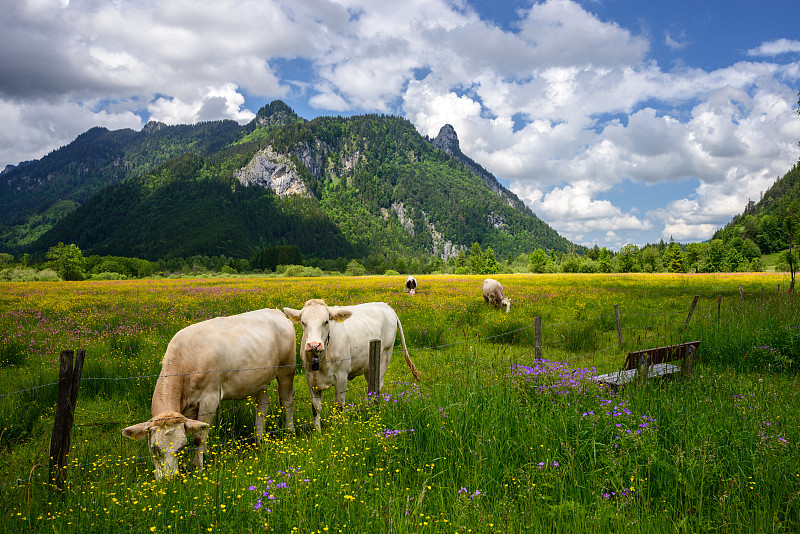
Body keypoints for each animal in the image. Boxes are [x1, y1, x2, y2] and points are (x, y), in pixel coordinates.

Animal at [123, 310, 298, 482]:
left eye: (180, 448)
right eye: (155, 449)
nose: (169, 479)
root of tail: (276, 311)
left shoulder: (210, 398)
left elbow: (199, 436)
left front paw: (198, 466)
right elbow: (200, 429)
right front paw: (205, 455)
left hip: (286, 369)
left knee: (288, 401)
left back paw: (290, 430)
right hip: (258, 380)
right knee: (262, 404)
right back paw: (258, 439)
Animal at [282, 300, 422, 434]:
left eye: (326, 321)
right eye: (303, 322)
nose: (314, 345)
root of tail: (386, 305)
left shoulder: (341, 376)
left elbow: (339, 406)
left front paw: (339, 428)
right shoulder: (311, 379)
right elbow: (316, 408)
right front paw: (318, 432)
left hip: (385, 356)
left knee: (378, 386)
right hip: (369, 365)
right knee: (371, 387)